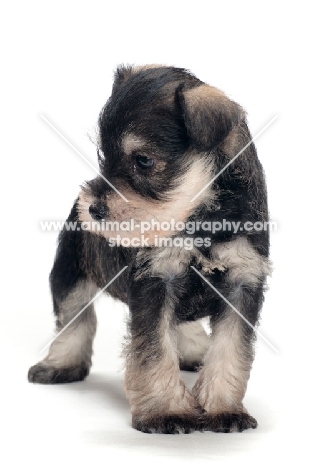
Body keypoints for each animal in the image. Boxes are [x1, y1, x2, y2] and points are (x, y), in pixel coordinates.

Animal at [28, 66, 270, 436]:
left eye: (143, 160)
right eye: (103, 155)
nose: (92, 208)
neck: (203, 218)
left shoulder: (242, 283)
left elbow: (231, 351)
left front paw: (223, 409)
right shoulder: (157, 280)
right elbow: (154, 350)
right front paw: (166, 411)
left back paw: (194, 351)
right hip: (70, 272)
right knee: (74, 319)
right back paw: (60, 365)